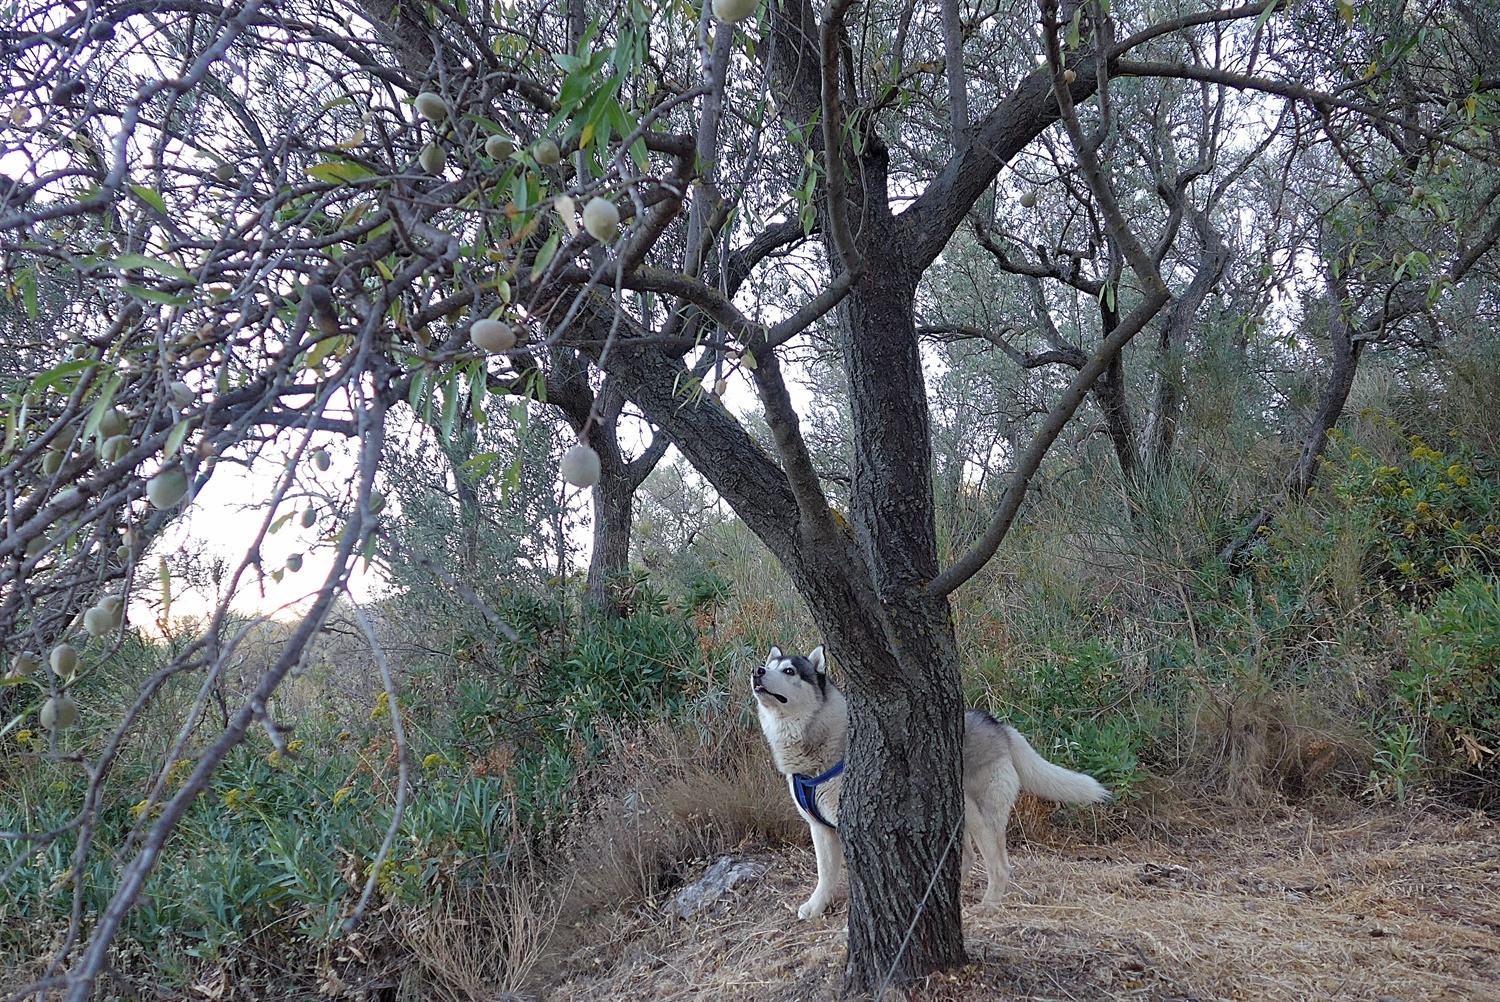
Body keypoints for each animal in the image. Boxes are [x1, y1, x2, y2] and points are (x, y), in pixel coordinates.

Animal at [756, 645, 1110, 918]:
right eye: (770, 665)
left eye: (789, 671)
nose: (757, 671)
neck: (812, 744)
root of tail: (996, 724)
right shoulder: (820, 828)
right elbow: (825, 875)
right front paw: (816, 906)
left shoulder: (854, 826)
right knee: (966, 859)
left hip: (979, 815)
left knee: (998, 866)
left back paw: (988, 905)